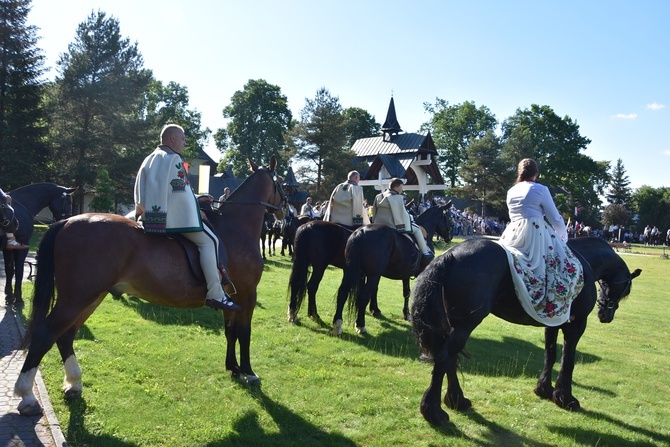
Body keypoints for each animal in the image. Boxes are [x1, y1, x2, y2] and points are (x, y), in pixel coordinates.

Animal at [13, 158, 286, 416]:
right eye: (283, 182)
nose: (287, 212)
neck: (235, 226)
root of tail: (67, 223)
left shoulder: (232, 297)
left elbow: (231, 332)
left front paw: (233, 368)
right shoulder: (248, 294)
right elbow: (244, 333)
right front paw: (248, 372)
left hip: (90, 297)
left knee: (66, 335)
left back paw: (73, 383)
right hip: (75, 299)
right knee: (45, 335)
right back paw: (27, 395)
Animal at [332, 205, 456, 334]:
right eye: (450, 218)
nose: (450, 237)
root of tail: (360, 231)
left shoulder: (405, 274)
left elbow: (406, 292)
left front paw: (405, 314)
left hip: (351, 271)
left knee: (342, 292)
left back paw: (337, 324)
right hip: (373, 275)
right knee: (363, 296)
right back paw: (361, 325)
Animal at [412, 238, 644, 428]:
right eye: (626, 288)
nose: (606, 314)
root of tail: (451, 254)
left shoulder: (552, 324)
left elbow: (550, 355)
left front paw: (544, 389)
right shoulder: (576, 325)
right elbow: (568, 360)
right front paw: (565, 398)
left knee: (449, 359)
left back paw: (456, 400)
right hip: (465, 326)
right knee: (444, 358)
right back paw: (434, 412)